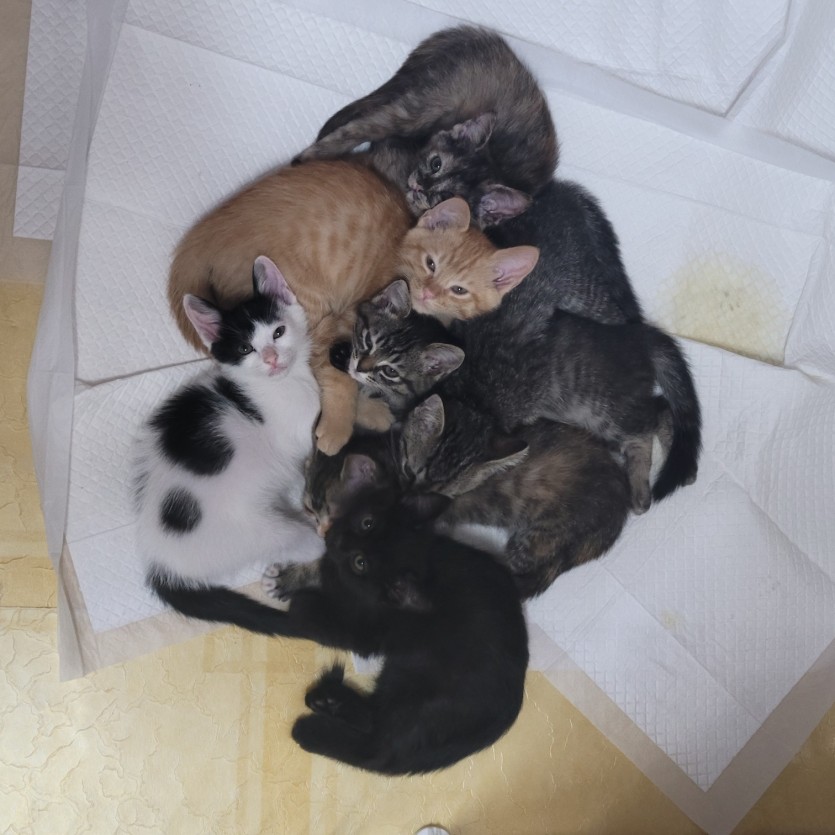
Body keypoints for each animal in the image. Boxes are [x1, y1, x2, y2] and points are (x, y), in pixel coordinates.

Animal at [134, 256, 324, 633]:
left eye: (278, 332)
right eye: (245, 349)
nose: (271, 357)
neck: (279, 384)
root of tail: (161, 561)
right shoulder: (299, 434)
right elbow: (302, 461)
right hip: (258, 529)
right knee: (310, 544)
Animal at [168, 159, 412, 455]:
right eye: (431, 264)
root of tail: (202, 234)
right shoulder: (344, 319)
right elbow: (339, 374)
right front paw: (338, 427)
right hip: (308, 298)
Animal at [260, 485, 528, 775]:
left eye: (360, 563)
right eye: (367, 523)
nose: (337, 540)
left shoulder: (367, 633)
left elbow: (330, 610)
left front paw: (301, 598)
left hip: (415, 681)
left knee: (375, 743)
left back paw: (313, 724)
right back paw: (327, 701)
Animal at [295, 25, 558, 226]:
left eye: (447, 196)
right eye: (436, 164)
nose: (420, 186)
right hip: (420, 108)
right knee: (358, 127)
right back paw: (306, 159)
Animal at [345, 276, 699, 511]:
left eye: (439, 494)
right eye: (409, 471)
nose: (405, 499)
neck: (472, 400)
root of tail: (638, 335)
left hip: (605, 409)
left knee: (647, 426)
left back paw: (642, 487)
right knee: (661, 407)